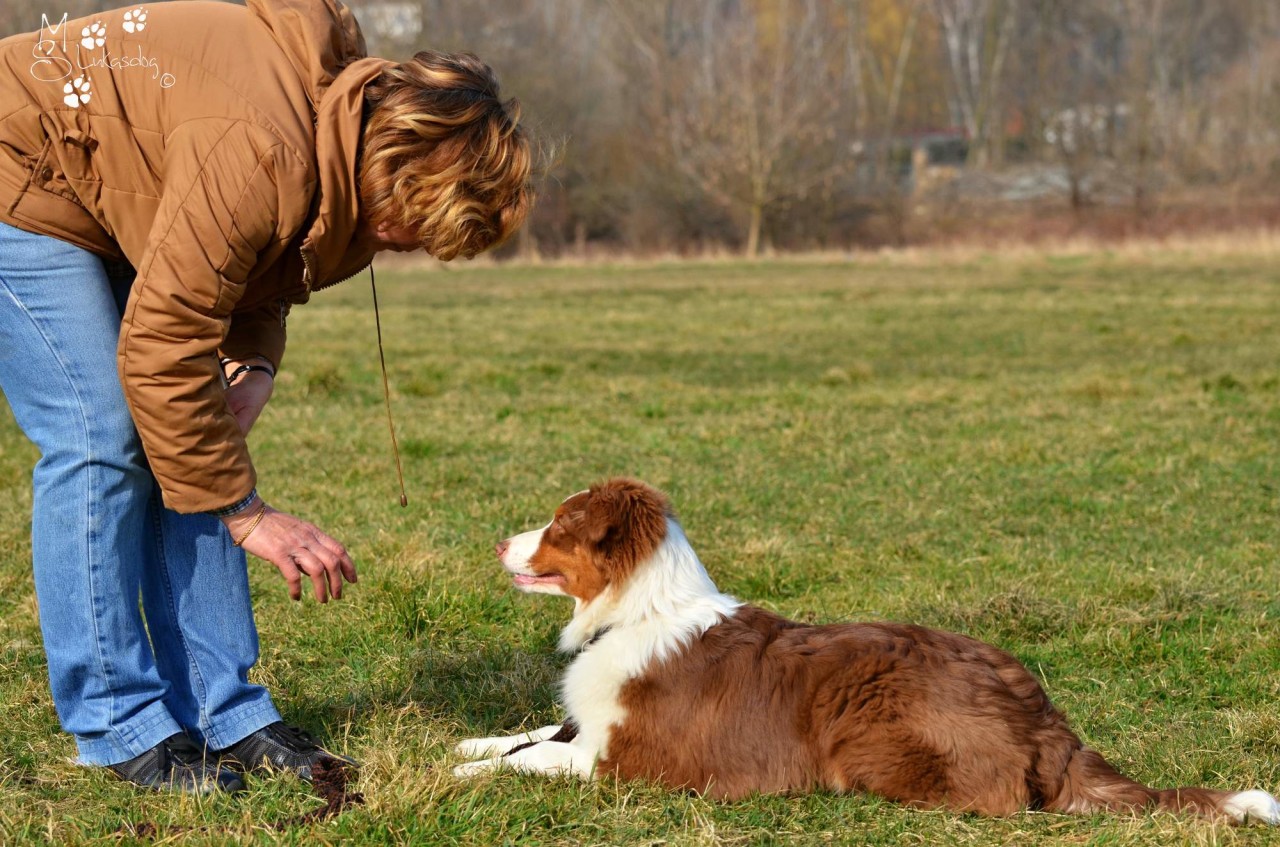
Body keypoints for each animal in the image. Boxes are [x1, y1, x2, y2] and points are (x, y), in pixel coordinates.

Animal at [455, 481, 1274, 823]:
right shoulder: (584, 730)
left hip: (870, 728)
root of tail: (1048, 723)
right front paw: (465, 744)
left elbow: (530, 756)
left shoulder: (623, 758)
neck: (638, 610)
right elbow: (525, 733)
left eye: (559, 525)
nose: (496, 542)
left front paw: (465, 770)